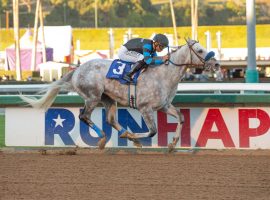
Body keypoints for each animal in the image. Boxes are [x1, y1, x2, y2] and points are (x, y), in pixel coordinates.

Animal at [20, 39, 219, 151]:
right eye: (200, 50)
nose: (217, 64)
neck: (164, 74)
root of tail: (76, 70)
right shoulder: (145, 108)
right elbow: (153, 131)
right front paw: (134, 137)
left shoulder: (163, 106)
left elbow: (180, 117)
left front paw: (172, 144)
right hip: (92, 97)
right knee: (84, 116)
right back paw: (103, 139)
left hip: (108, 99)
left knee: (110, 120)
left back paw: (125, 136)